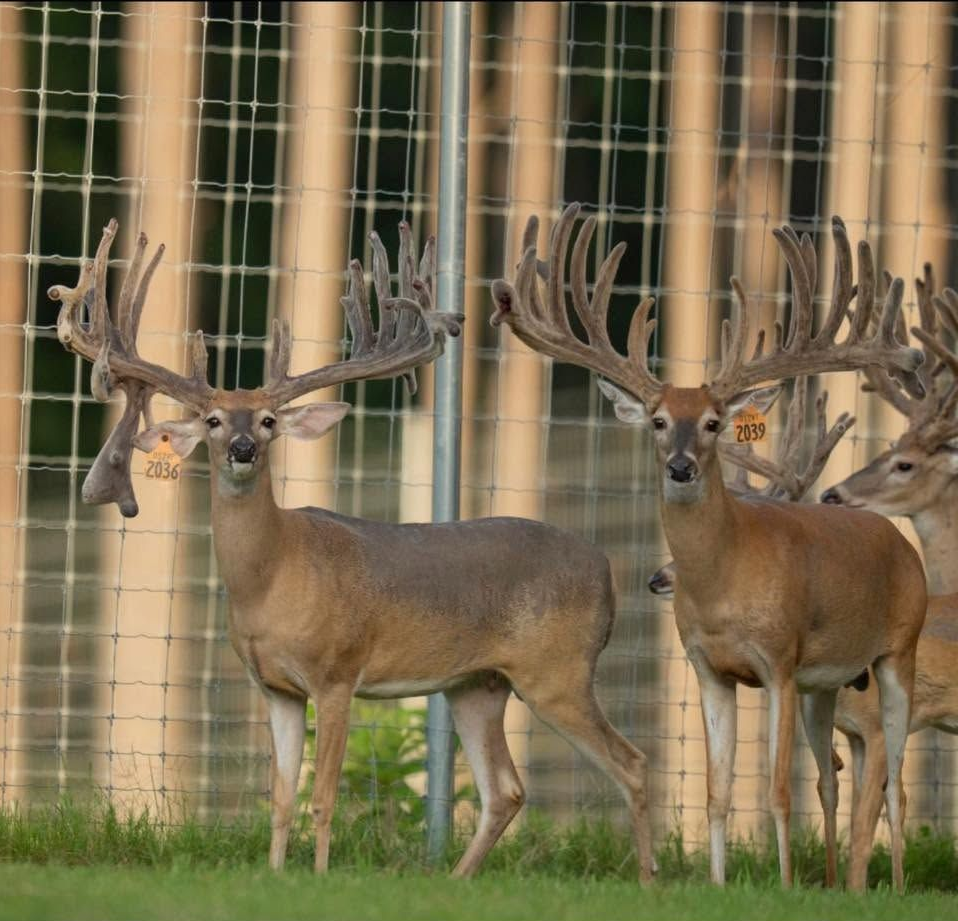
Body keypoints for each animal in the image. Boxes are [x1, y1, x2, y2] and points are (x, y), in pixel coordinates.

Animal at [48, 218, 655, 882]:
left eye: (268, 421)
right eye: (212, 420)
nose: (241, 449)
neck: (271, 580)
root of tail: (607, 568)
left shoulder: (336, 673)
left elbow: (323, 797)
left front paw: (317, 879)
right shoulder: (276, 688)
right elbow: (281, 798)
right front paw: (275, 875)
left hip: (559, 671)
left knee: (632, 766)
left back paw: (650, 881)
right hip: (476, 684)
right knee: (506, 789)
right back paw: (456, 880)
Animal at [490, 202, 928, 890]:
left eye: (716, 423)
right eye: (658, 420)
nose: (680, 467)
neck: (726, 582)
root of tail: (896, 537)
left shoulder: (779, 661)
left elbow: (775, 791)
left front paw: (781, 886)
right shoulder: (709, 669)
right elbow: (718, 793)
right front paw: (719, 885)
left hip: (898, 651)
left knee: (894, 782)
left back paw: (896, 885)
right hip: (829, 683)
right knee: (835, 777)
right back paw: (837, 883)